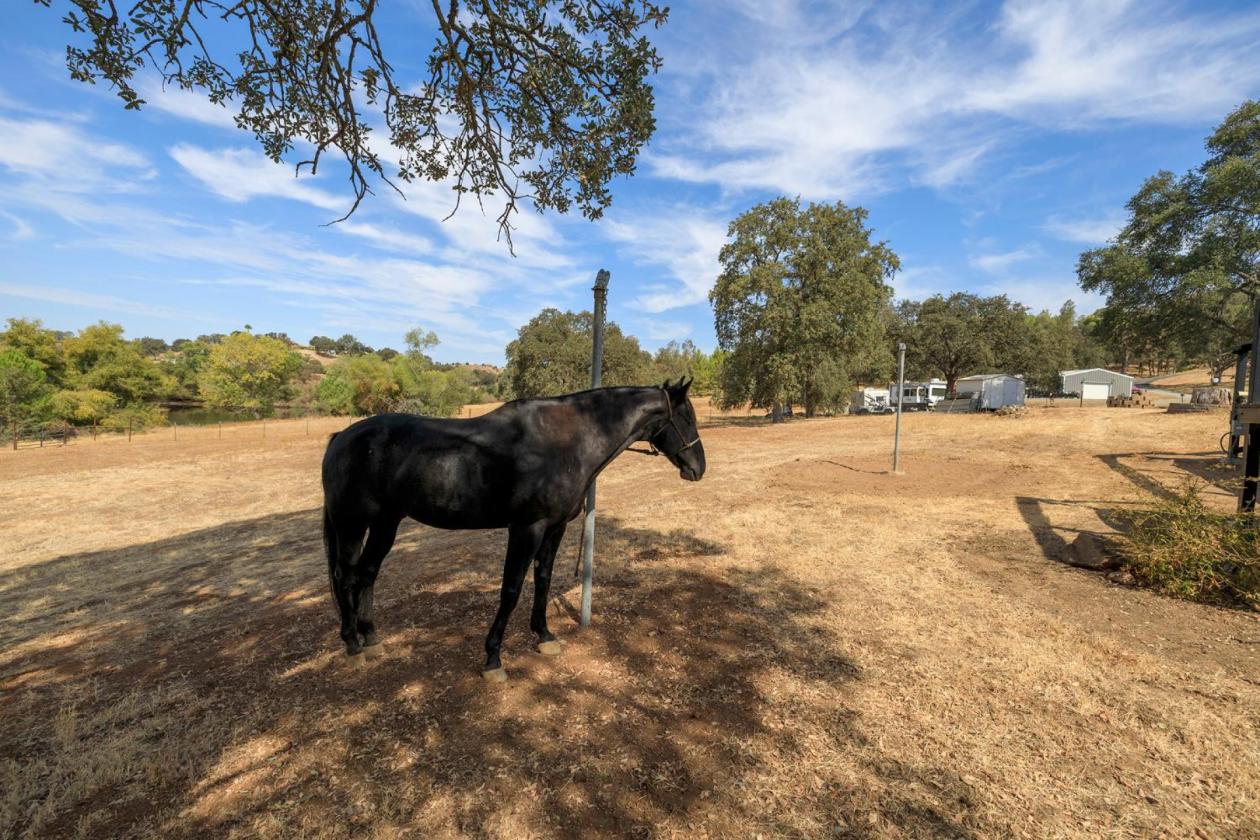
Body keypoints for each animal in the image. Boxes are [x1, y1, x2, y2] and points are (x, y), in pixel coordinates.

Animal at [321, 378, 707, 681]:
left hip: (385, 523)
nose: (698, 468)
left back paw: (371, 638)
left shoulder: (555, 528)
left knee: (368, 573)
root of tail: (341, 437)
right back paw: (352, 644)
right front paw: (493, 658)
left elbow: (543, 579)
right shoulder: (526, 529)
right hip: (352, 524)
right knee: (346, 576)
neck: (567, 441)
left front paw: (545, 636)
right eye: (686, 417)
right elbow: (511, 589)